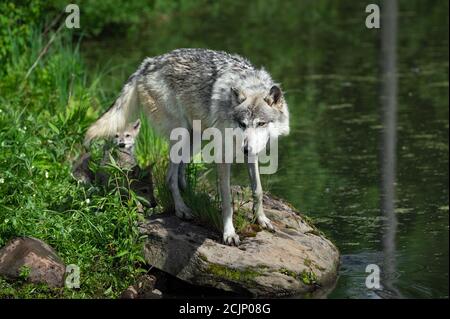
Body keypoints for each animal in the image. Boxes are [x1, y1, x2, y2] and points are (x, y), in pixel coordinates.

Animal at [83, 48, 288, 246]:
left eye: (261, 123)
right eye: (243, 124)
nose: (245, 149)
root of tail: (147, 64)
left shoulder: (252, 154)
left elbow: (257, 189)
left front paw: (261, 219)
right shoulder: (223, 156)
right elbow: (227, 200)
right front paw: (229, 234)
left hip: (195, 137)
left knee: (180, 170)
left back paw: (188, 192)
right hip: (181, 135)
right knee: (169, 177)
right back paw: (182, 209)